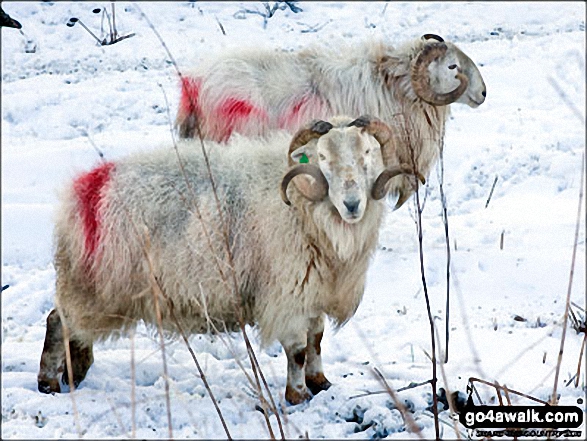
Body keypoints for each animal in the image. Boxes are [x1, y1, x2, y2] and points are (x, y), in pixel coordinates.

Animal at [36, 115, 422, 404]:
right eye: (323, 158)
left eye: (368, 152)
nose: (353, 204)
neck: (305, 207)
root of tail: (85, 188)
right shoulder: (288, 294)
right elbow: (298, 349)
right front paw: (297, 395)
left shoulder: (312, 290)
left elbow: (316, 340)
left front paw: (321, 383)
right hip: (91, 285)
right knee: (58, 321)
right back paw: (49, 383)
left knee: (74, 330)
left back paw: (76, 373)